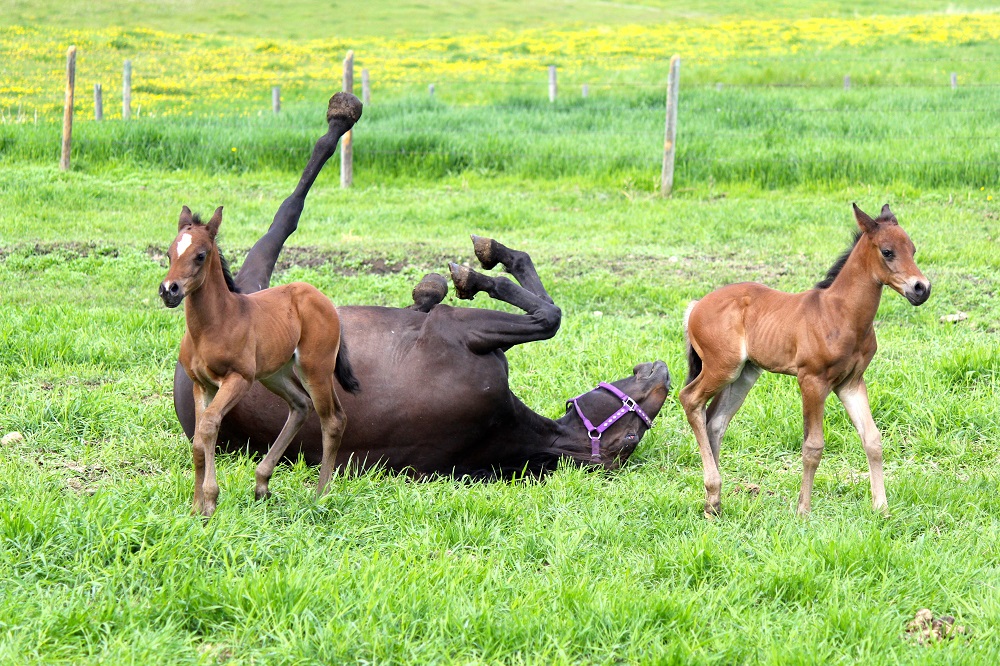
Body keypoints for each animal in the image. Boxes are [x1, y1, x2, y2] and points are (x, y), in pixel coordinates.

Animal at [160, 205, 359, 518]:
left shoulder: (238, 379)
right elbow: (199, 440)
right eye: (169, 254)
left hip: (315, 368)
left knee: (333, 419)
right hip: (274, 375)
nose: (169, 290)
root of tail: (324, 300)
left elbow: (209, 426)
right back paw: (262, 484)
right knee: (300, 406)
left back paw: (321, 496)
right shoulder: (201, 385)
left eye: (200, 255)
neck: (213, 324)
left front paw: (210, 502)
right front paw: (195, 508)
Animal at [169, 92, 671, 479]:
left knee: (285, 215)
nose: (662, 372)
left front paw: (474, 273)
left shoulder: (461, 328)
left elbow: (549, 316)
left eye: (630, 437)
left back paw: (340, 115)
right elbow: (543, 302)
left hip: (257, 283)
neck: (504, 430)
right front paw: (475, 263)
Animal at [679, 203, 930, 517]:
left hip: (744, 374)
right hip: (722, 367)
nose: (922, 288)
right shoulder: (811, 380)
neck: (841, 314)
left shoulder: (851, 383)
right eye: (887, 252)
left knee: (715, 420)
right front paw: (803, 511)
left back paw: (713, 504)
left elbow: (872, 439)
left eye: (913, 249)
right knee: (690, 399)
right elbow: (813, 446)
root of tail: (695, 306)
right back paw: (713, 490)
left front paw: (881, 509)